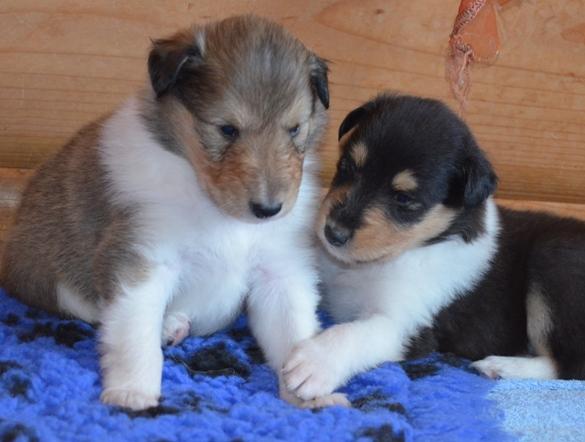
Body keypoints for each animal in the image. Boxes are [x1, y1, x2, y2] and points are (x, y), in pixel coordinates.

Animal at [2, 16, 350, 410]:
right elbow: (133, 333)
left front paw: (311, 392)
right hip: (52, 277)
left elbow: (292, 331)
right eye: (227, 129)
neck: (215, 206)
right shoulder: (141, 258)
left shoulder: (279, 269)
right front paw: (132, 393)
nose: (268, 209)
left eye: (294, 129)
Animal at [280, 93, 584, 400]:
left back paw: (501, 367)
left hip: (553, 258)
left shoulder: (407, 325)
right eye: (347, 166)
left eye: (404, 199)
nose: (333, 233)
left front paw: (312, 364)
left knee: (569, 367)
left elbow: (354, 334)